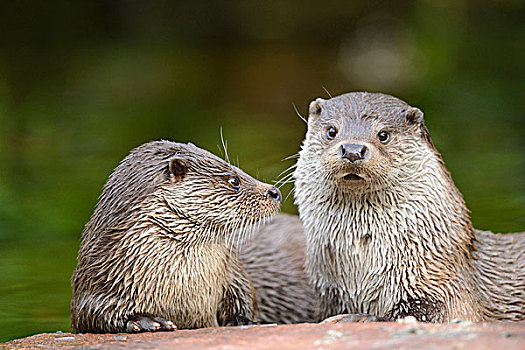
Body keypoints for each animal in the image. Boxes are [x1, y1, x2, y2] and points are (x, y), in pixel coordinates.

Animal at [72, 140, 282, 334]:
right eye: (234, 181)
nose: (275, 192)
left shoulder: (234, 273)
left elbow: (244, 297)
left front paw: (242, 320)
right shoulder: (95, 285)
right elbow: (91, 315)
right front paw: (145, 320)